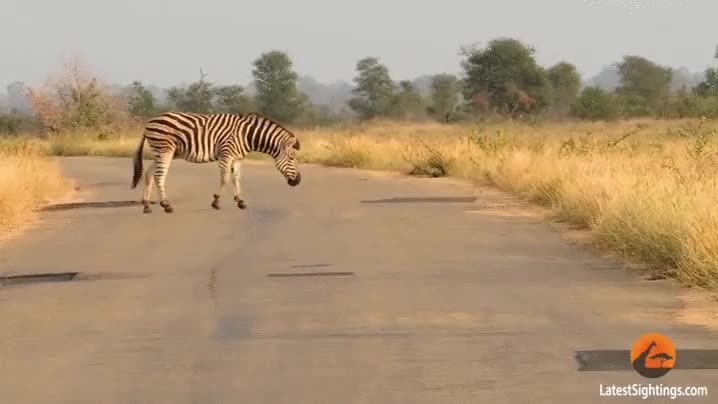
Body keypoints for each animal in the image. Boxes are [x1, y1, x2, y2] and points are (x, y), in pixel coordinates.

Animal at [130, 111, 302, 214]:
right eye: (292, 158)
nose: (298, 181)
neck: (247, 136)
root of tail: (150, 121)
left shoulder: (237, 158)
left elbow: (237, 179)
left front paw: (240, 201)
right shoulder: (226, 155)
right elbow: (225, 179)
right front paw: (216, 201)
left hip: (159, 152)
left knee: (148, 174)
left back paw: (146, 205)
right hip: (165, 150)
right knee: (159, 176)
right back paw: (166, 205)